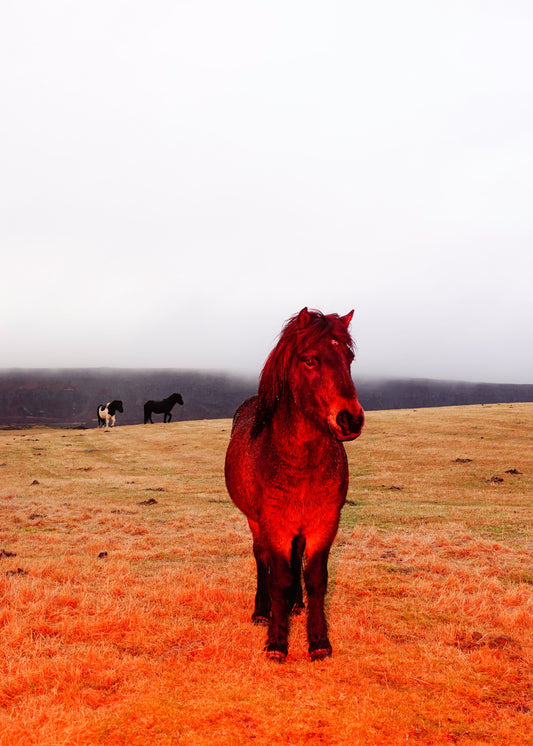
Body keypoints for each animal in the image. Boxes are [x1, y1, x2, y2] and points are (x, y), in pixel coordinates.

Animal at [222, 306, 364, 660]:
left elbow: (315, 578)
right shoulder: (274, 524)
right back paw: (263, 611)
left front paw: (318, 640)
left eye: (350, 358)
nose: (350, 419)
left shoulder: (324, 522)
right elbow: (279, 577)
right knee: (261, 558)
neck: (301, 462)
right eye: (310, 360)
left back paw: (295, 605)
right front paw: (276, 641)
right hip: (256, 521)